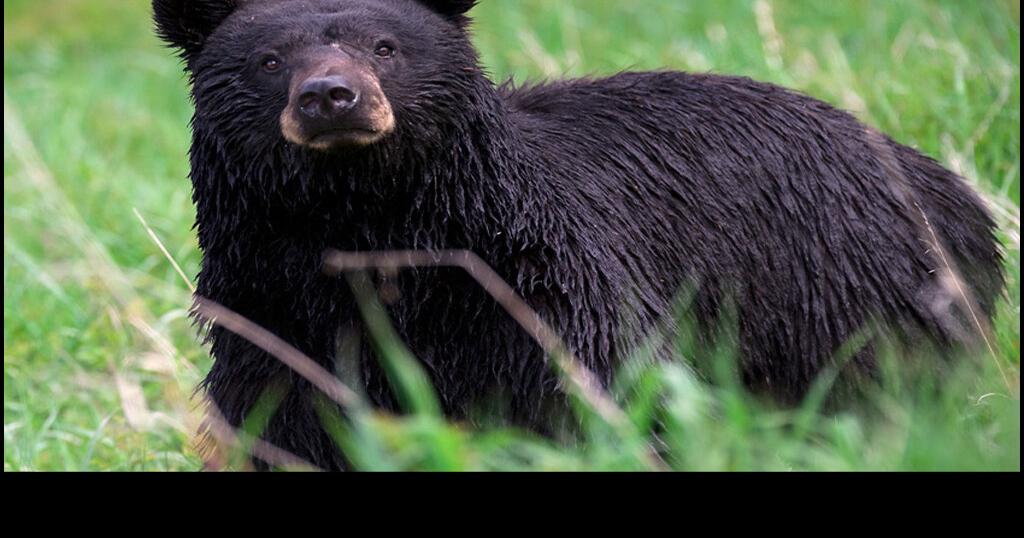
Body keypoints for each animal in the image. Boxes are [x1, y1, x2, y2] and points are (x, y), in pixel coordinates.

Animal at [153, 0, 1004, 471]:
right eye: (268, 59)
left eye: (385, 47)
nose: (331, 97)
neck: (369, 228)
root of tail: (950, 188)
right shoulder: (270, 313)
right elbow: (289, 424)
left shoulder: (540, 290)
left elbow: (595, 394)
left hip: (846, 295)